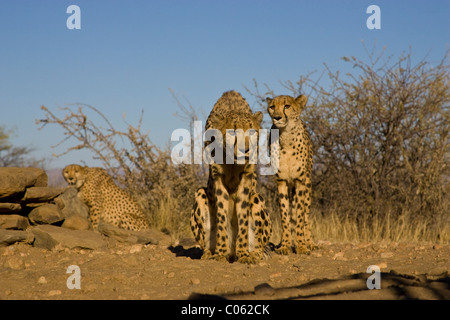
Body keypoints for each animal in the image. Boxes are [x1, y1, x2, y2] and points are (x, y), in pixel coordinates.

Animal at [189, 90, 270, 264]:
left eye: (252, 131)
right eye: (233, 132)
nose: (245, 150)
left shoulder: (246, 178)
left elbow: (243, 218)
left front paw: (244, 254)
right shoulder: (217, 177)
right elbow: (221, 216)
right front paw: (220, 252)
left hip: (257, 197)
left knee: (261, 246)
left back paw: (253, 254)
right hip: (200, 193)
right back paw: (210, 253)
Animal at [266, 94, 314, 254]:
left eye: (286, 106)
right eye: (272, 107)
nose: (277, 117)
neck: (286, 137)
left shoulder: (300, 181)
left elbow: (299, 216)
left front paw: (301, 245)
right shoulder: (281, 182)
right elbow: (285, 216)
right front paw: (285, 245)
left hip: (308, 185)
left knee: (306, 215)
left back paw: (310, 242)